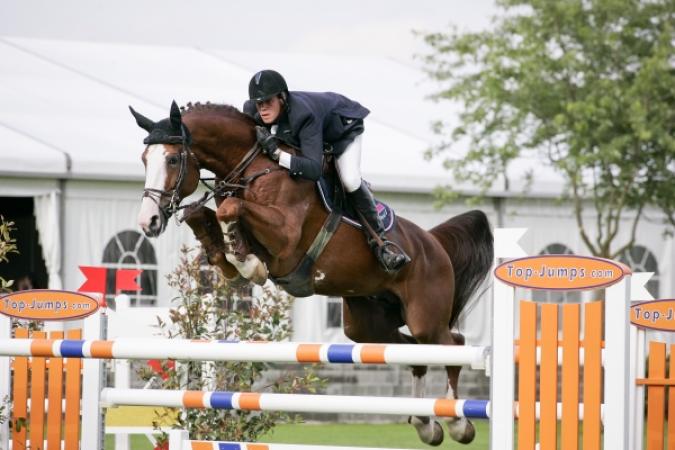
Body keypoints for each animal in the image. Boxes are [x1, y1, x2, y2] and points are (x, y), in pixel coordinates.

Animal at [131, 100, 493, 446]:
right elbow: (202, 214)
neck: (253, 168)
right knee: (415, 353)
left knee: (453, 344)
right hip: (366, 324)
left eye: (173, 159)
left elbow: (230, 210)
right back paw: (424, 422)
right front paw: (230, 261)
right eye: (144, 159)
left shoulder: (285, 237)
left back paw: (457, 422)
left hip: (424, 315)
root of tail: (433, 242)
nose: (148, 221)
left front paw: (248, 264)